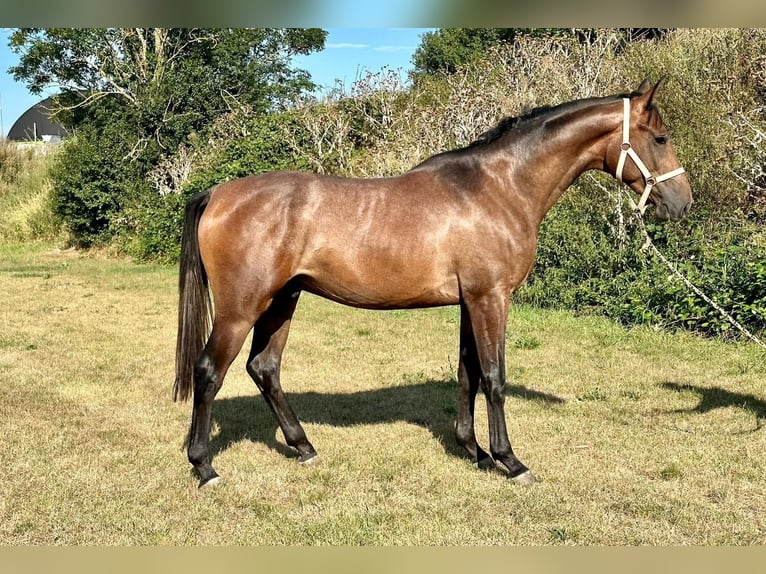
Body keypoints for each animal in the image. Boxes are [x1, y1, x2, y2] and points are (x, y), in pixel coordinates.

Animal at [174, 79, 696, 488]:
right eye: (661, 137)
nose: (683, 203)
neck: (500, 187)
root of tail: (218, 193)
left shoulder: (471, 301)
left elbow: (468, 373)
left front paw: (474, 452)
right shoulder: (491, 298)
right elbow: (494, 378)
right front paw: (510, 461)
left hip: (282, 300)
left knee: (265, 368)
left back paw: (304, 448)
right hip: (243, 308)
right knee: (209, 371)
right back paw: (204, 467)